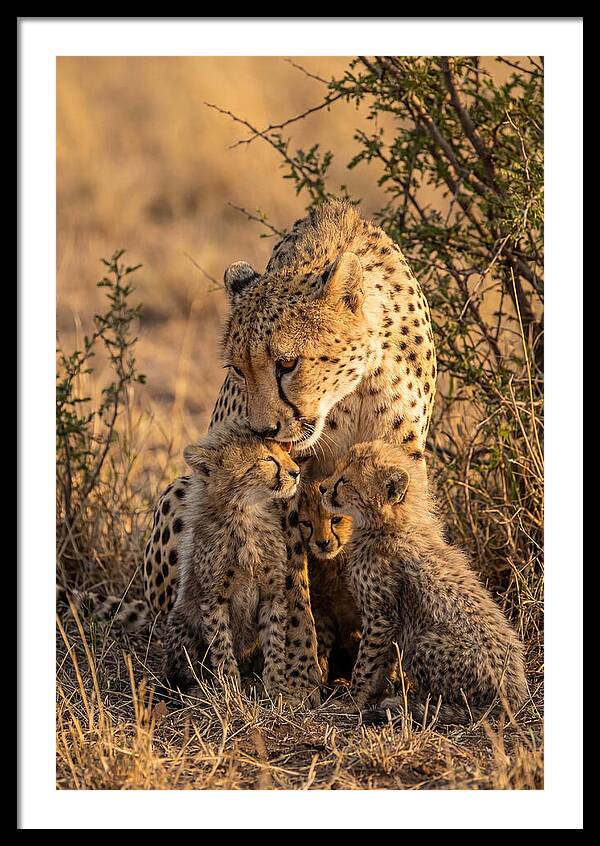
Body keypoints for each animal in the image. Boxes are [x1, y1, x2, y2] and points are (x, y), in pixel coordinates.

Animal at [161, 422, 314, 703]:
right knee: (182, 667)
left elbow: (274, 641)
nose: (296, 472)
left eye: (284, 452)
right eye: (268, 459)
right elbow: (221, 644)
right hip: (181, 623)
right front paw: (230, 690)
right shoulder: (214, 598)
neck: (246, 514)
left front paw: (276, 687)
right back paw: (196, 688)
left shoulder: (272, 593)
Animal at [298, 481, 360, 684]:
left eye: (336, 519)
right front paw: (321, 677)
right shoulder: (323, 608)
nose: (322, 543)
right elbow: (322, 643)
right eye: (307, 523)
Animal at [320, 440, 528, 725]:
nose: (322, 487)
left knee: (455, 704)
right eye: (336, 471)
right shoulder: (389, 621)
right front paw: (373, 694)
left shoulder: (381, 616)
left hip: (424, 641)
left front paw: (353, 701)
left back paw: (408, 705)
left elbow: (367, 662)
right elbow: (382, 663)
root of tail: (514, 697)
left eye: (344, 481)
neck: (390, 524)